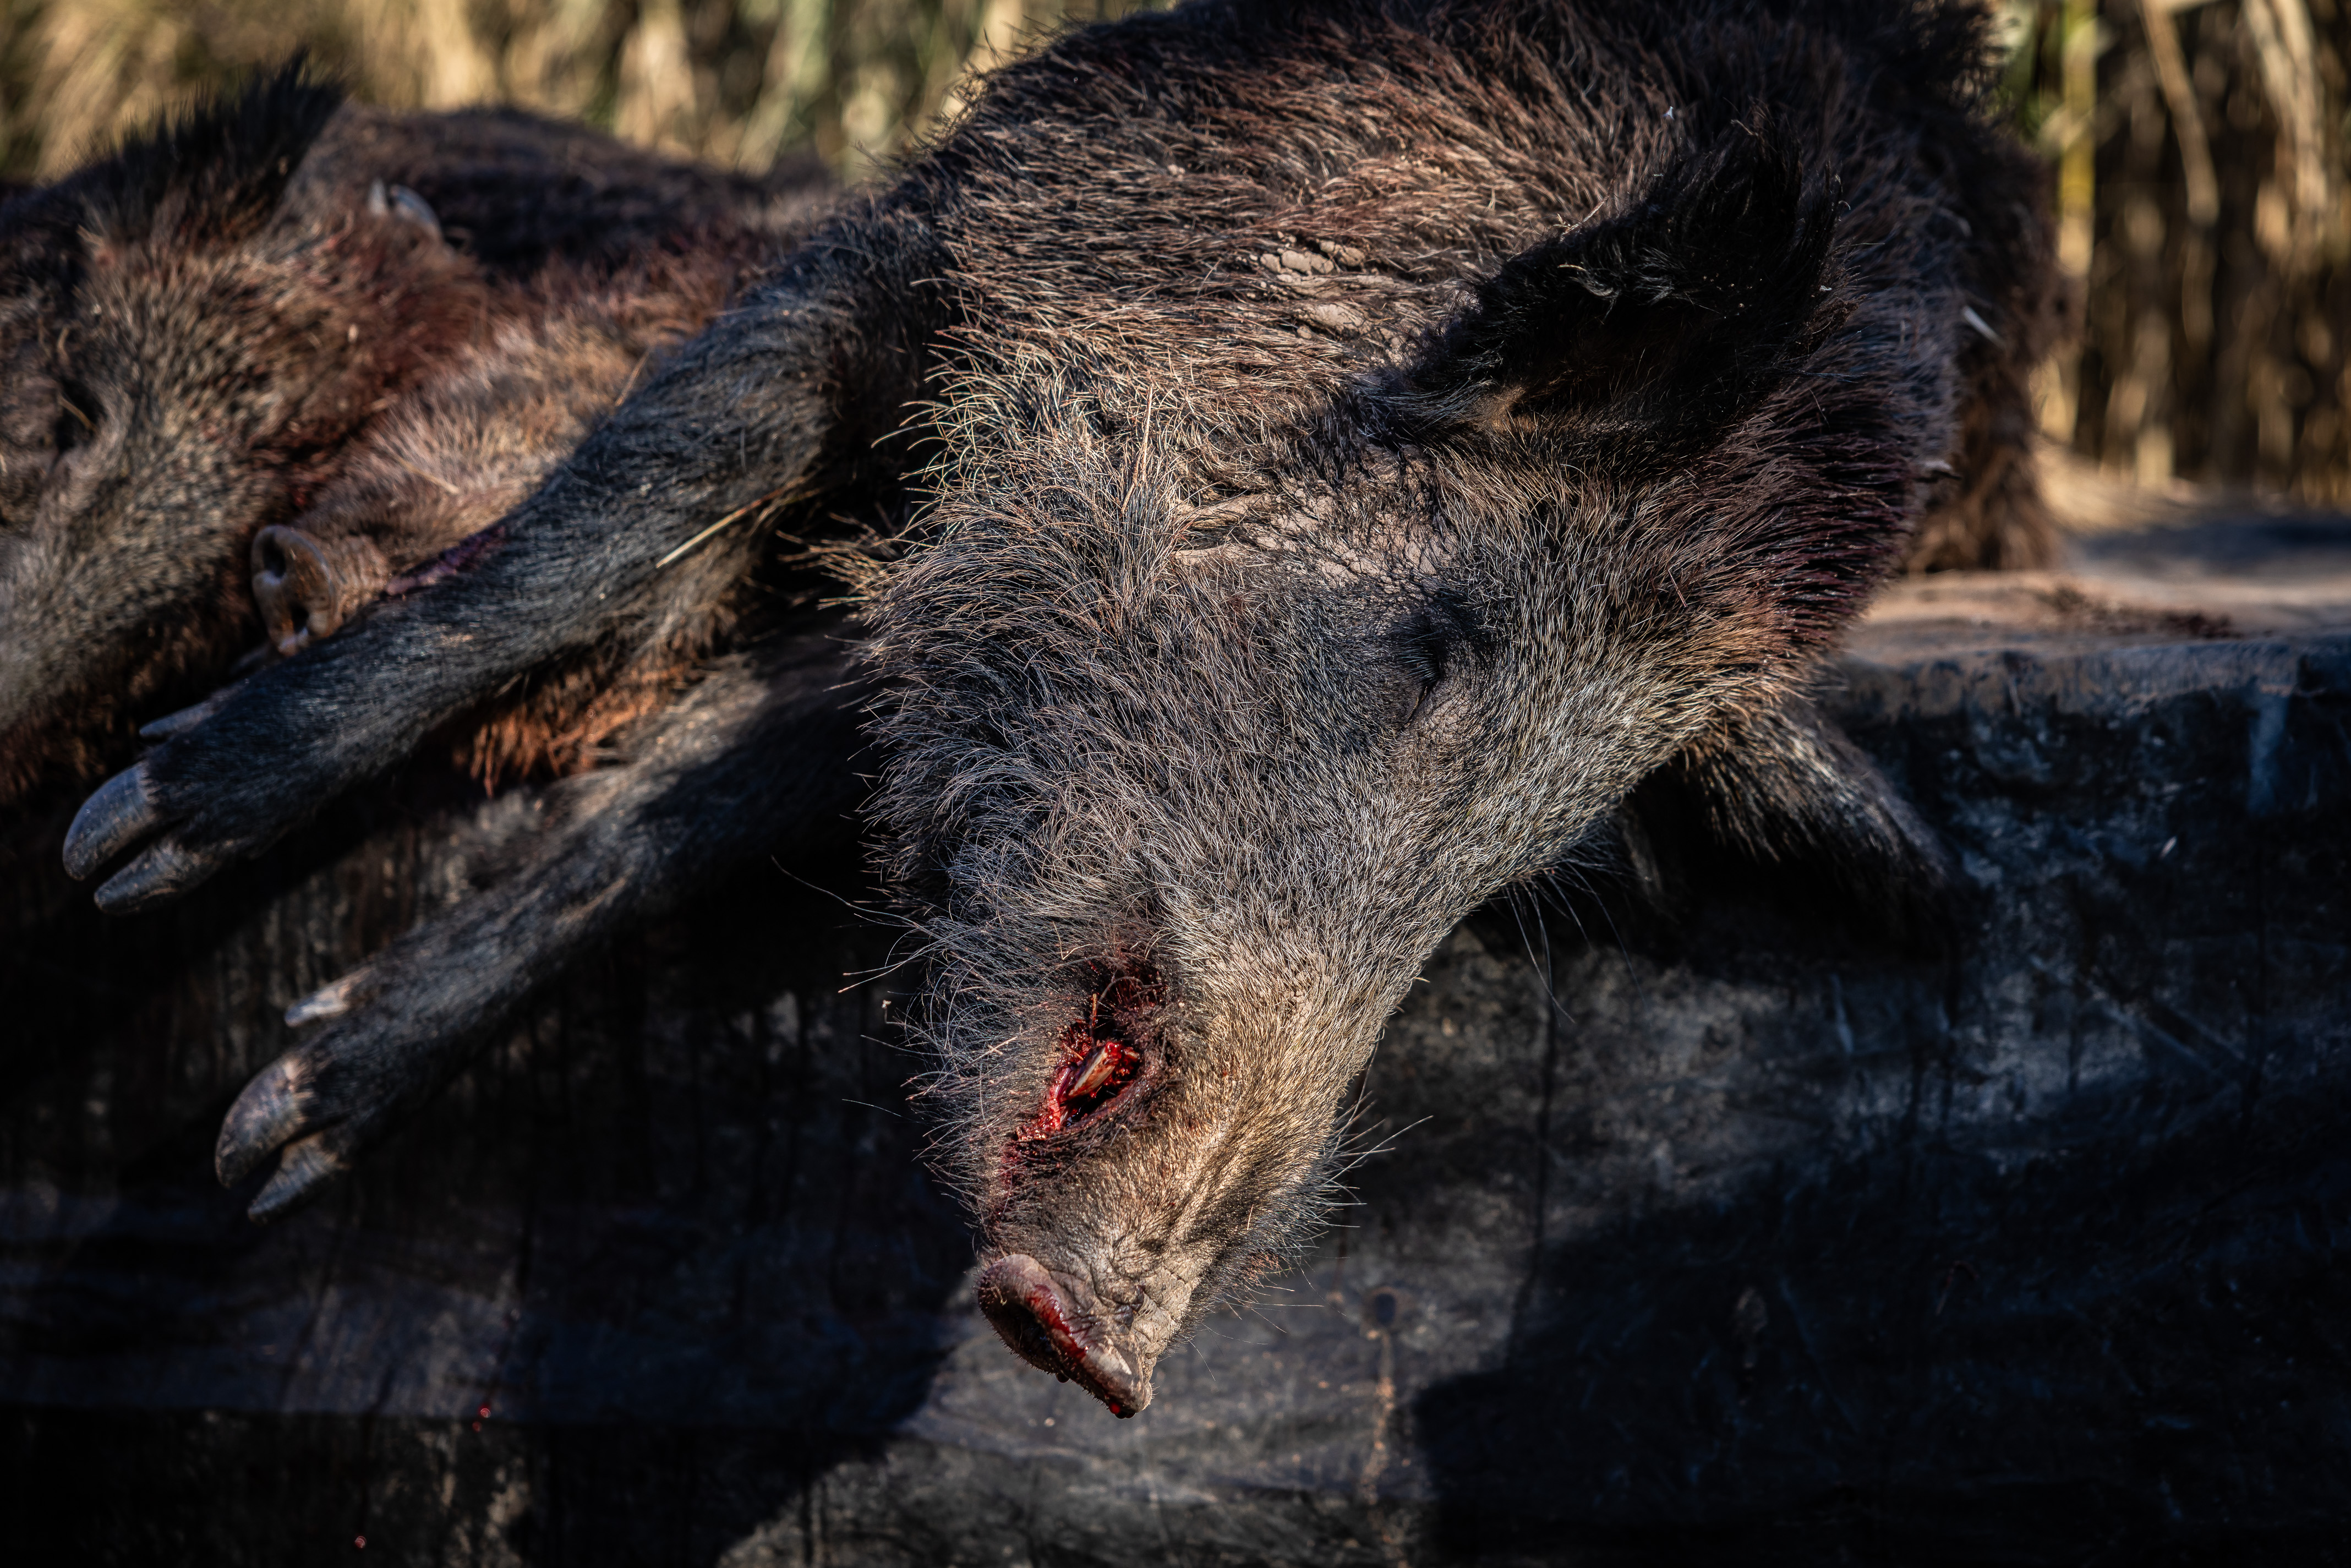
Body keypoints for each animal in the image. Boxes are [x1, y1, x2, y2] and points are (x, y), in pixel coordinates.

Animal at [65, 0, 2052, 1414]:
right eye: (1432, 644)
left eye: (1533, 860)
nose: (1099, 1341)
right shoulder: (939, 251)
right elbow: (620, 509)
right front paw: (131, 849)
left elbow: (673, 818)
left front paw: (277, 1133)